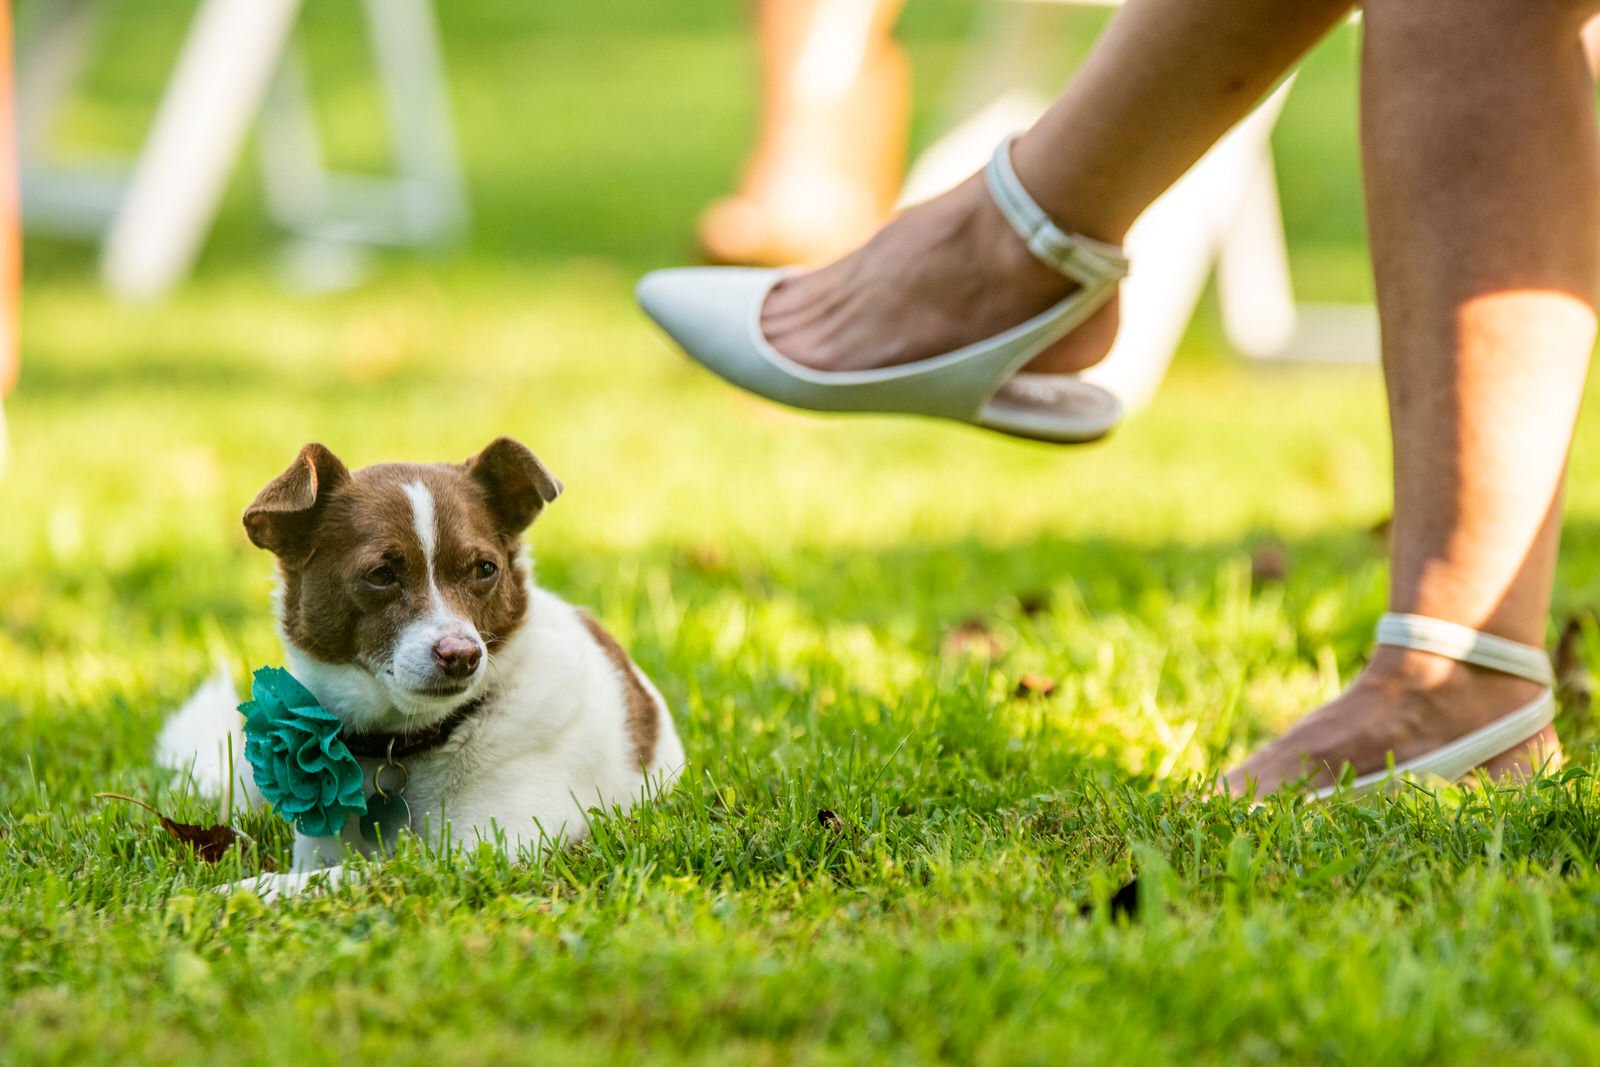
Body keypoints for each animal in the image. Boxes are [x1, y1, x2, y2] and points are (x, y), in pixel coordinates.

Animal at [159, 438, 684, 895]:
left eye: (485, 569)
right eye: (381, 575)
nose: (464, 656)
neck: (407, 742)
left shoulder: (488, 854)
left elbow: (354, 876)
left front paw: (240, 892)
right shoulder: (319, 845)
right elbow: (325, 870)